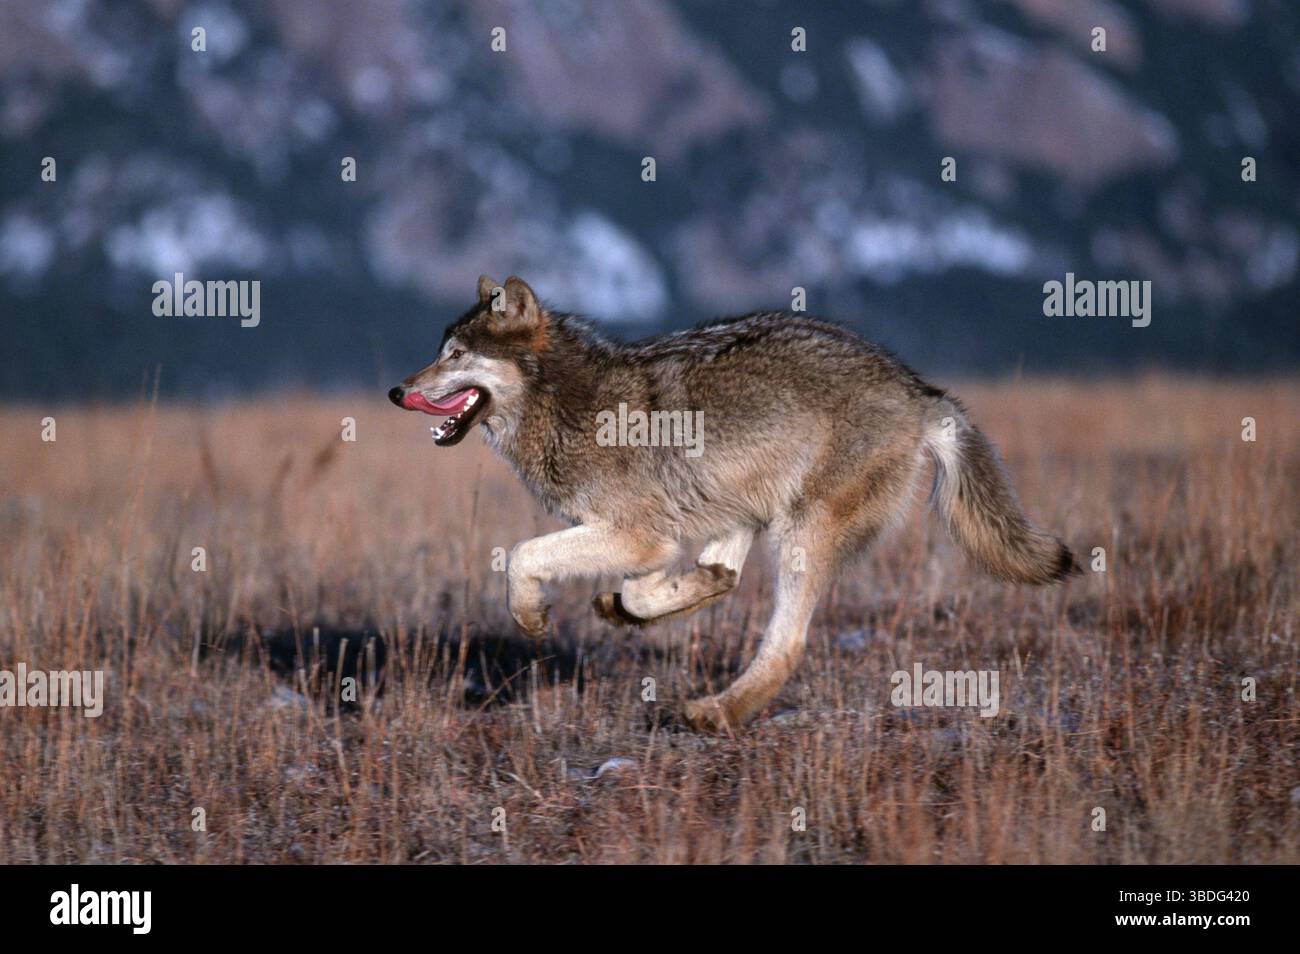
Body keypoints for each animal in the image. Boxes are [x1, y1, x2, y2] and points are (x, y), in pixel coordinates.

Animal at [390, 275, 1078, 732]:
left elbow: (523, 556)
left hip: (800, 531)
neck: (565, 403)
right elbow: (648, 584)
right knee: (722, 574)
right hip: (747, 505)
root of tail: (919, 391)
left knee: (786, 642)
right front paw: (631, 604)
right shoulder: (657, 537)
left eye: (454, 356)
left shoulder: (639, 535)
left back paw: (715, 712)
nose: (397, 392)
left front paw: (531, 615)